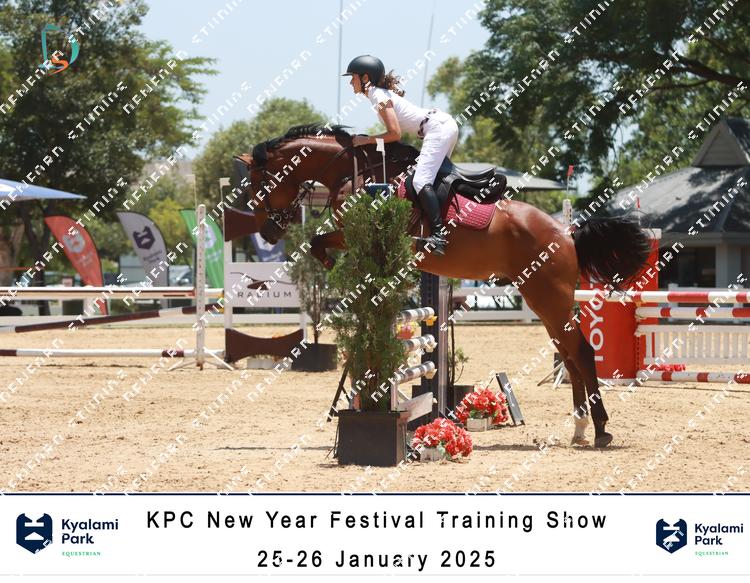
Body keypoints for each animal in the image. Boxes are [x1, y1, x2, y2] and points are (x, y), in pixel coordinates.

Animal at [233, 123, 651, 448]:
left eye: (259, 183)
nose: (267, 232)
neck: (353, 171)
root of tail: (567, 232)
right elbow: (320, 242)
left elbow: (321, 243)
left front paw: (335, 270)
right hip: (542, 299)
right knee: (568, 354)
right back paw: (580, 429)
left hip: (549, 297)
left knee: (580, 352)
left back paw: (600, 431)